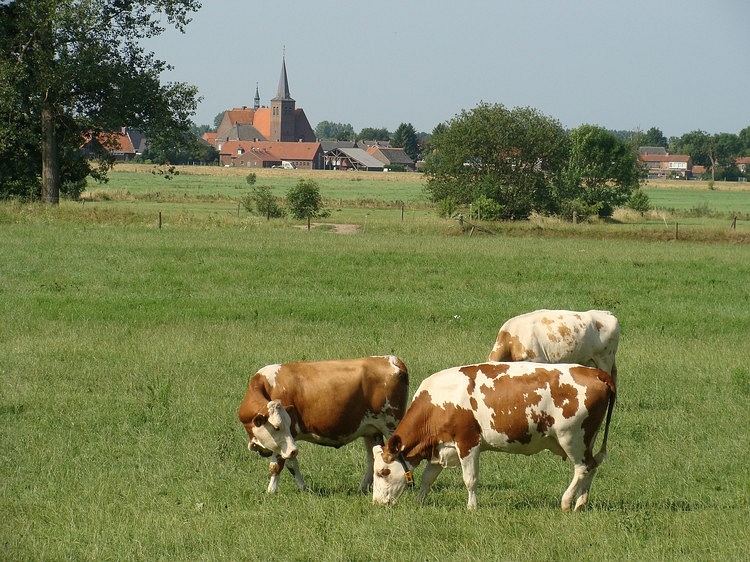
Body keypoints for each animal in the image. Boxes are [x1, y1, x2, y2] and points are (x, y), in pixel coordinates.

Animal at [238, 356, 408, 492]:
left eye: (278, 426)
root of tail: (392, 359)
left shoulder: (286, 438)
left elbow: (277, 465)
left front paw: (271, 491)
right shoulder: (288, 442)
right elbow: (292, 464)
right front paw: (303, 488)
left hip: (392, 426)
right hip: (371, 431)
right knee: (372, 459)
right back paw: (363, 488)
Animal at [372, 360, 616, 510]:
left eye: (383, 472)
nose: (376, 502)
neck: (438, 401)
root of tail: (594, 372)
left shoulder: (467, 442)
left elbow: (470, 479)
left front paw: (472, 507)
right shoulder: (441, 447)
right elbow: (427, 478)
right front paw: (420, 502)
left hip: (572, 437)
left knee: (583, 467)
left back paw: (566, 502)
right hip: (587, 438)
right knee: (592, 466)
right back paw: (580, 503)